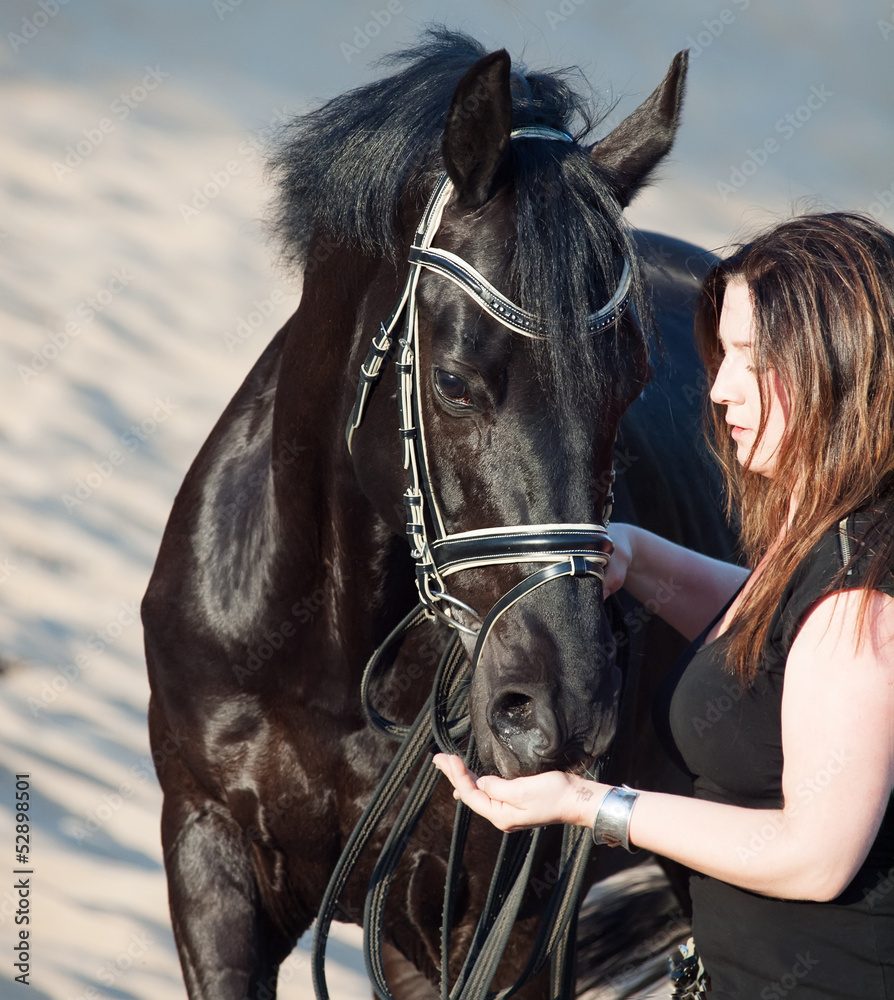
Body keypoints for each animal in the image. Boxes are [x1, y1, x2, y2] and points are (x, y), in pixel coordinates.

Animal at [143, 29, 733, 1000]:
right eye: (454, 381)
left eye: (631, 387)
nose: (565, 710)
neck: (332, 657)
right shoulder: (210, 854)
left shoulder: (490, 934)